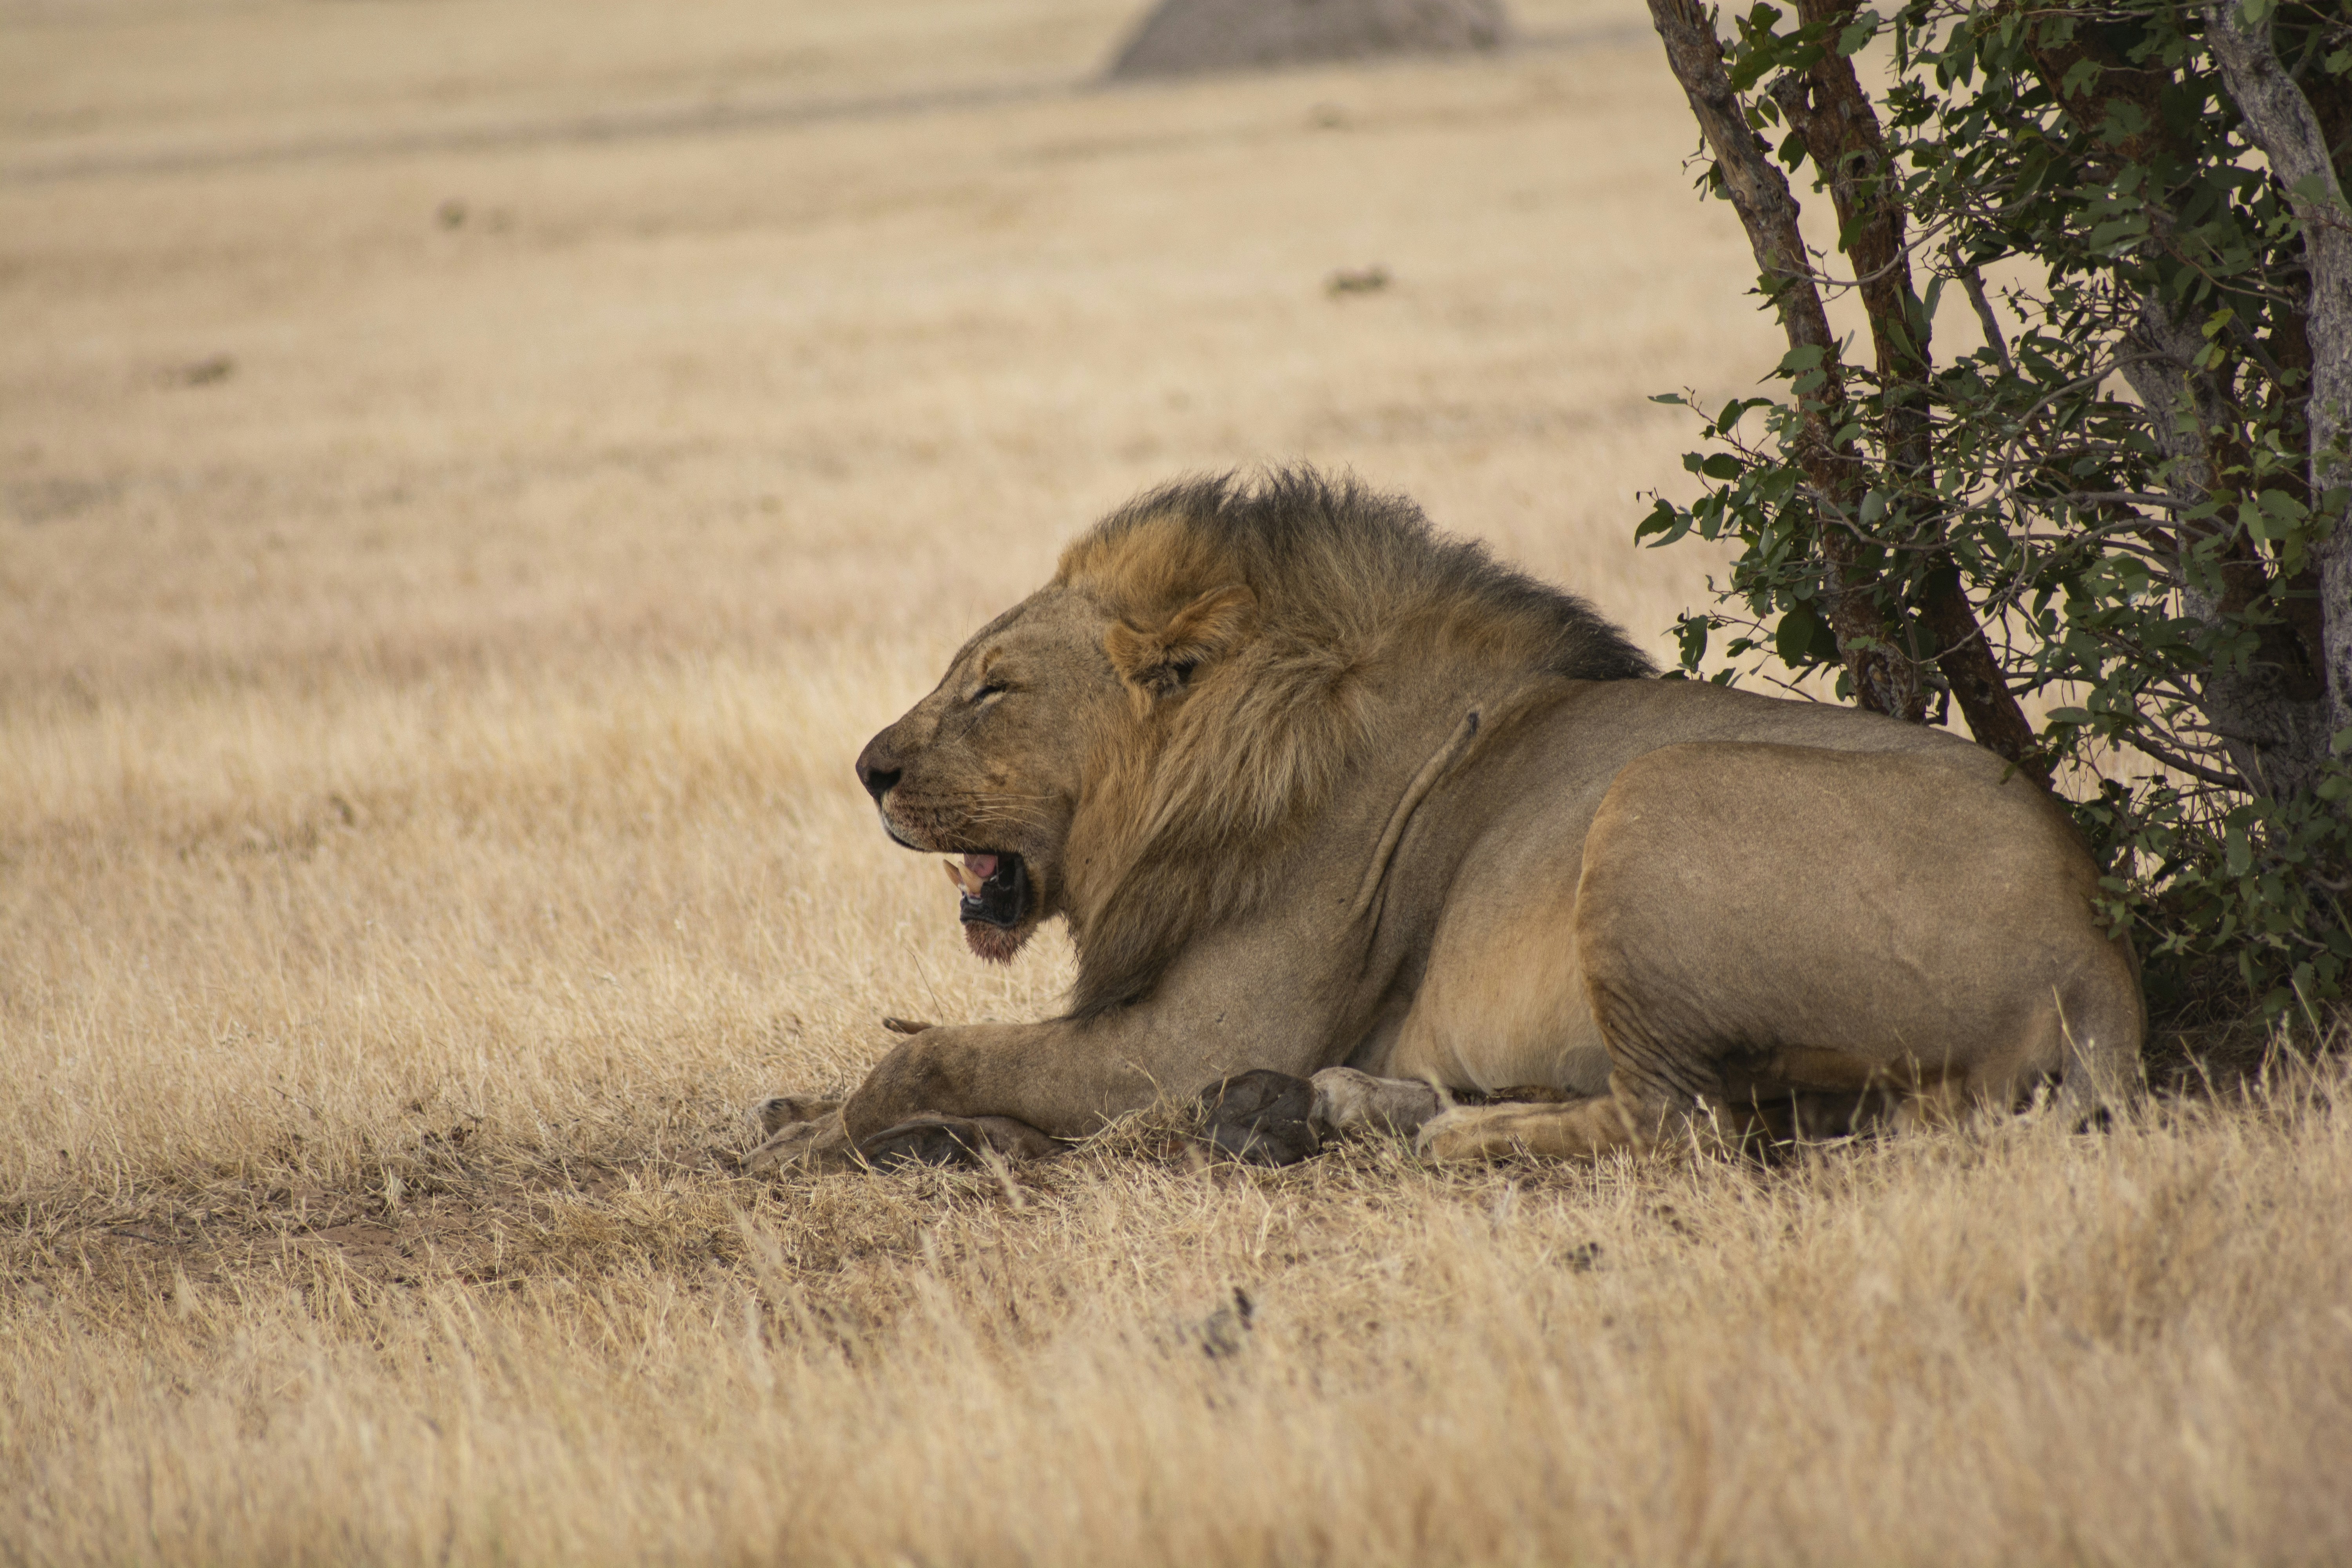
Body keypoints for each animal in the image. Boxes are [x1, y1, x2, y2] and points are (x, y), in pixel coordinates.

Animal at [747, 469, 2142, 1171]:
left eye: (994, 689)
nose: (866, 770)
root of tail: (2094, 947)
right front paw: (802, 1116)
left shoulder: (1197, 1036)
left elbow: (924, 1054)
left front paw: (813, 1138)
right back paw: (1342, 1107)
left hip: (1654, 795)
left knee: (1678, 1126)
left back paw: (1427, 1127)